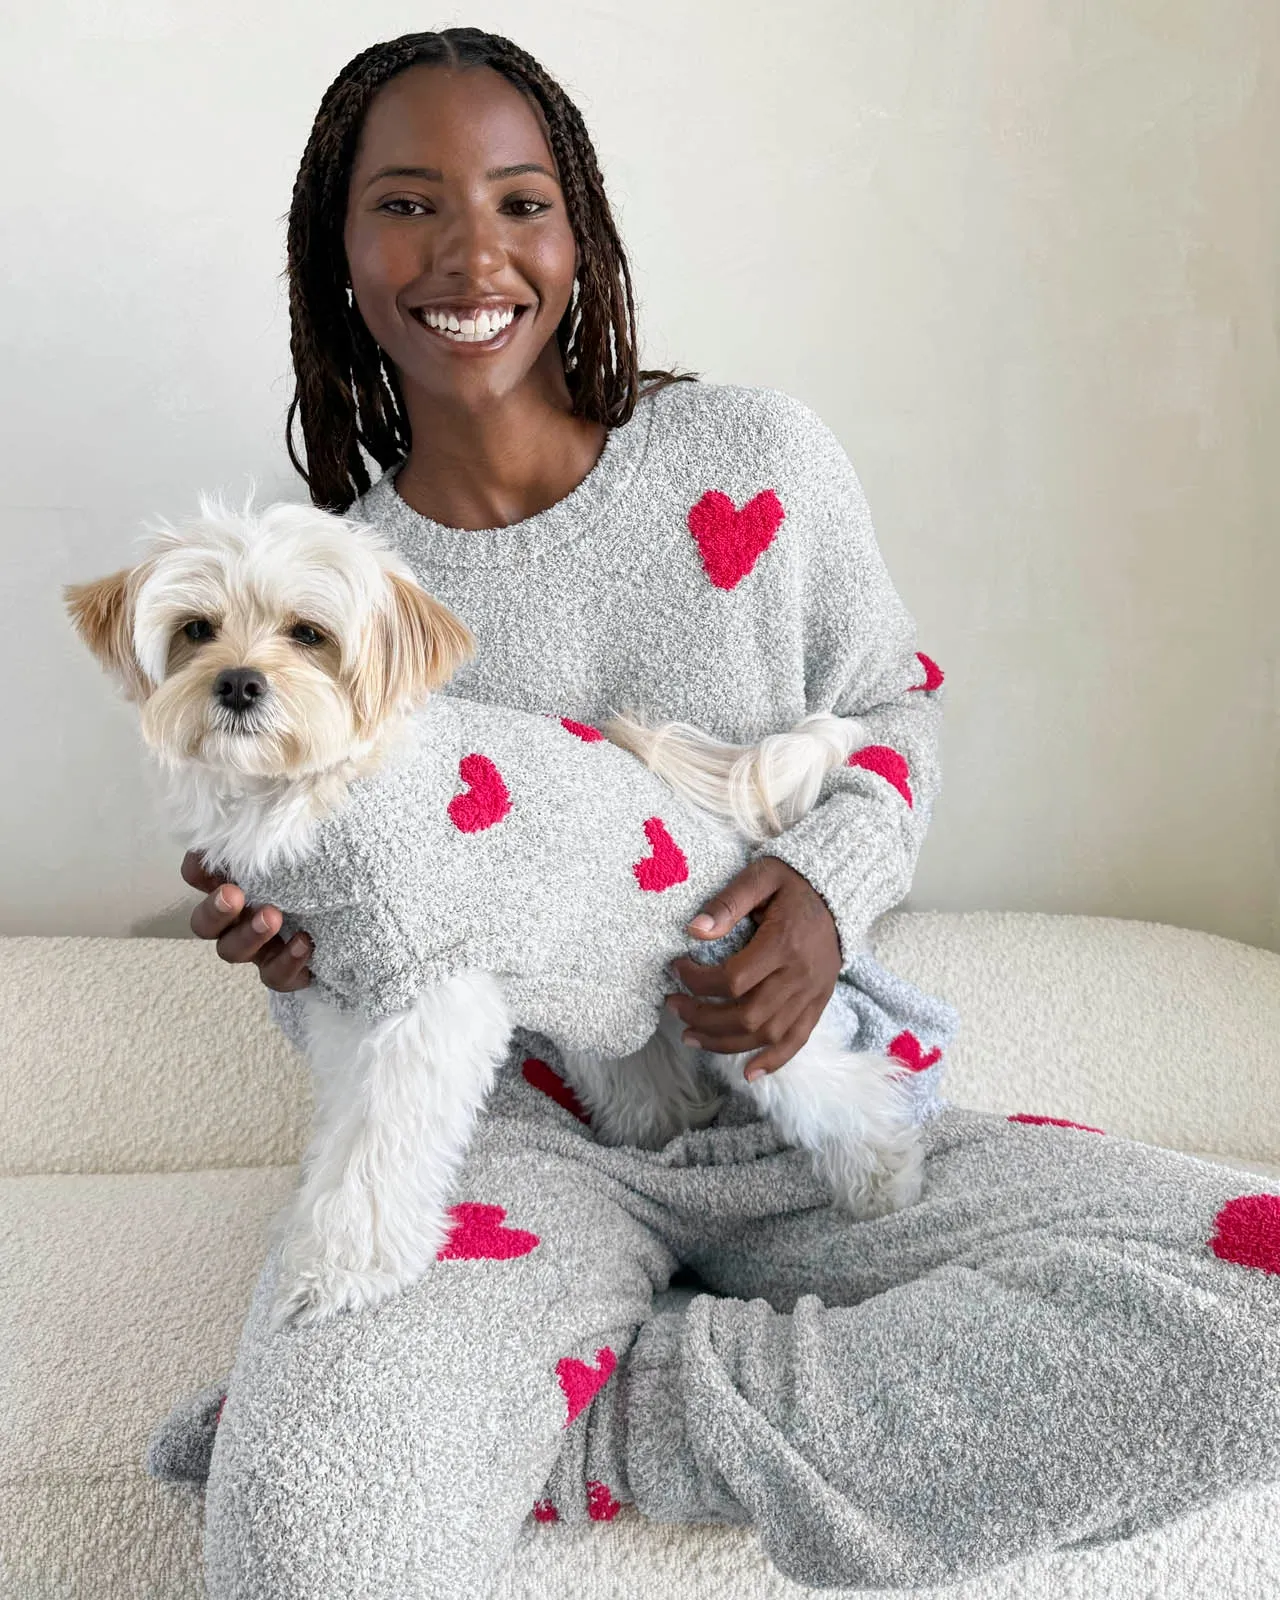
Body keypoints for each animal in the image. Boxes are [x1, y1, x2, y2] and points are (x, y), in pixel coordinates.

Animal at [64, 492, 928, 1331]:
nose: (239, 682)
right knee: (647, 1070)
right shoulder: (345, 991)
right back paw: (654, 1131)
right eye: (195, 629)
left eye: (308, 633)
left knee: (833, 1080)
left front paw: (342, 1269)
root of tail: (707, 819)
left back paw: (886, 1174)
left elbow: (381, 1147)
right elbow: (346, 1127)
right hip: (604, 994)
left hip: (730, 988)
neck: (321, 793)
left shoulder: (428, 998)